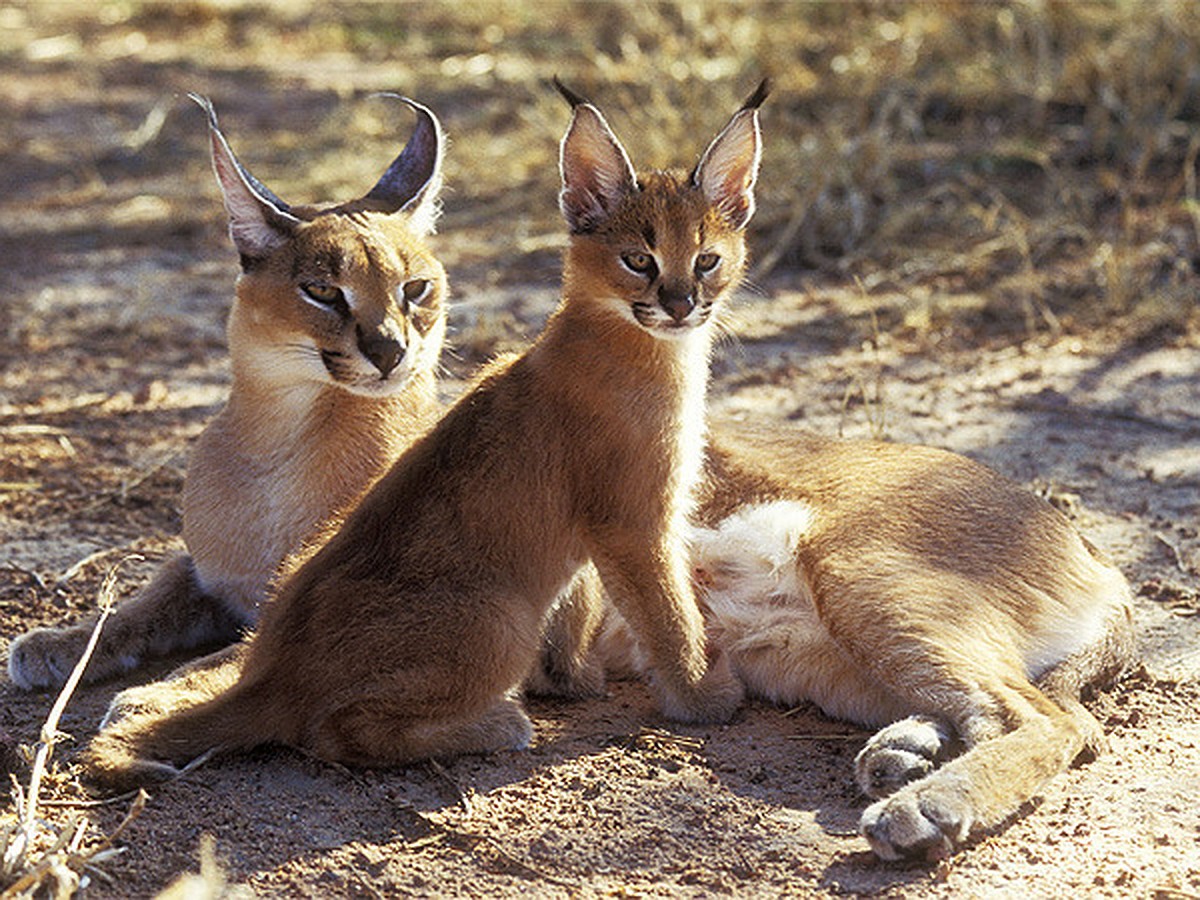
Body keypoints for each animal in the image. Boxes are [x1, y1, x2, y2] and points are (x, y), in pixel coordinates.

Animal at [7, 95, 448, 691]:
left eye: (416, 289)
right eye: (322, 291)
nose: (389, 351)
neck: (278, 440)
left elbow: (256, 648)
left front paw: (155, 696)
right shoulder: (206, 575)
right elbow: (145, 600)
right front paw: (61, 642)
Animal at [84, 84, 768, 787]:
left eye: (707, 261)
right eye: (638, 261)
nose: (682, 304)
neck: (642, 345)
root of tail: (270, 675)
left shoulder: (596, 532)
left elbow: (582, 602)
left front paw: (576, 677)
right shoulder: (633, 522)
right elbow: (669, 611)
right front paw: (703, 698)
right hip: (502, 616)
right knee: (335, 731)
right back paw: (499, 722)